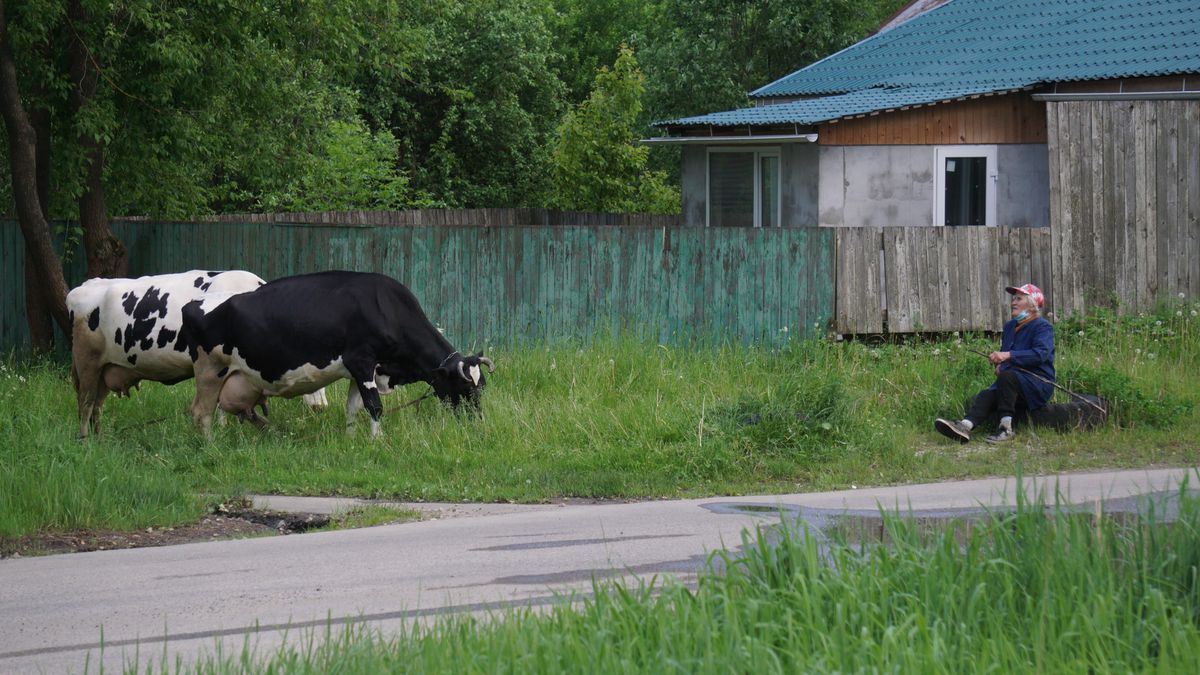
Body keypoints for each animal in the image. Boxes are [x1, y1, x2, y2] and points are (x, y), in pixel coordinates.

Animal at [66, 270, 328, 438]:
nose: (321, 407)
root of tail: (84, 286)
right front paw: (223, 429)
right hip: (87, 363)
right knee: (85, 403)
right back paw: (86, 442)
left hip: (106, 370)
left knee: (97, 405)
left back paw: (100, 439)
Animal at [182, 270, 493, 437]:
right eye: (465, 386)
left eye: (482, 387)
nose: (478, 421)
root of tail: (195, 302)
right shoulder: (362, 361)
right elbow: (375, 406)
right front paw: (378, 441)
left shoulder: (361, 370)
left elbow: (353, 407)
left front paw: (352, 438)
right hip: (209, 371)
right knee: (201, 411)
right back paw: (211, 446)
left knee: (223, 408)